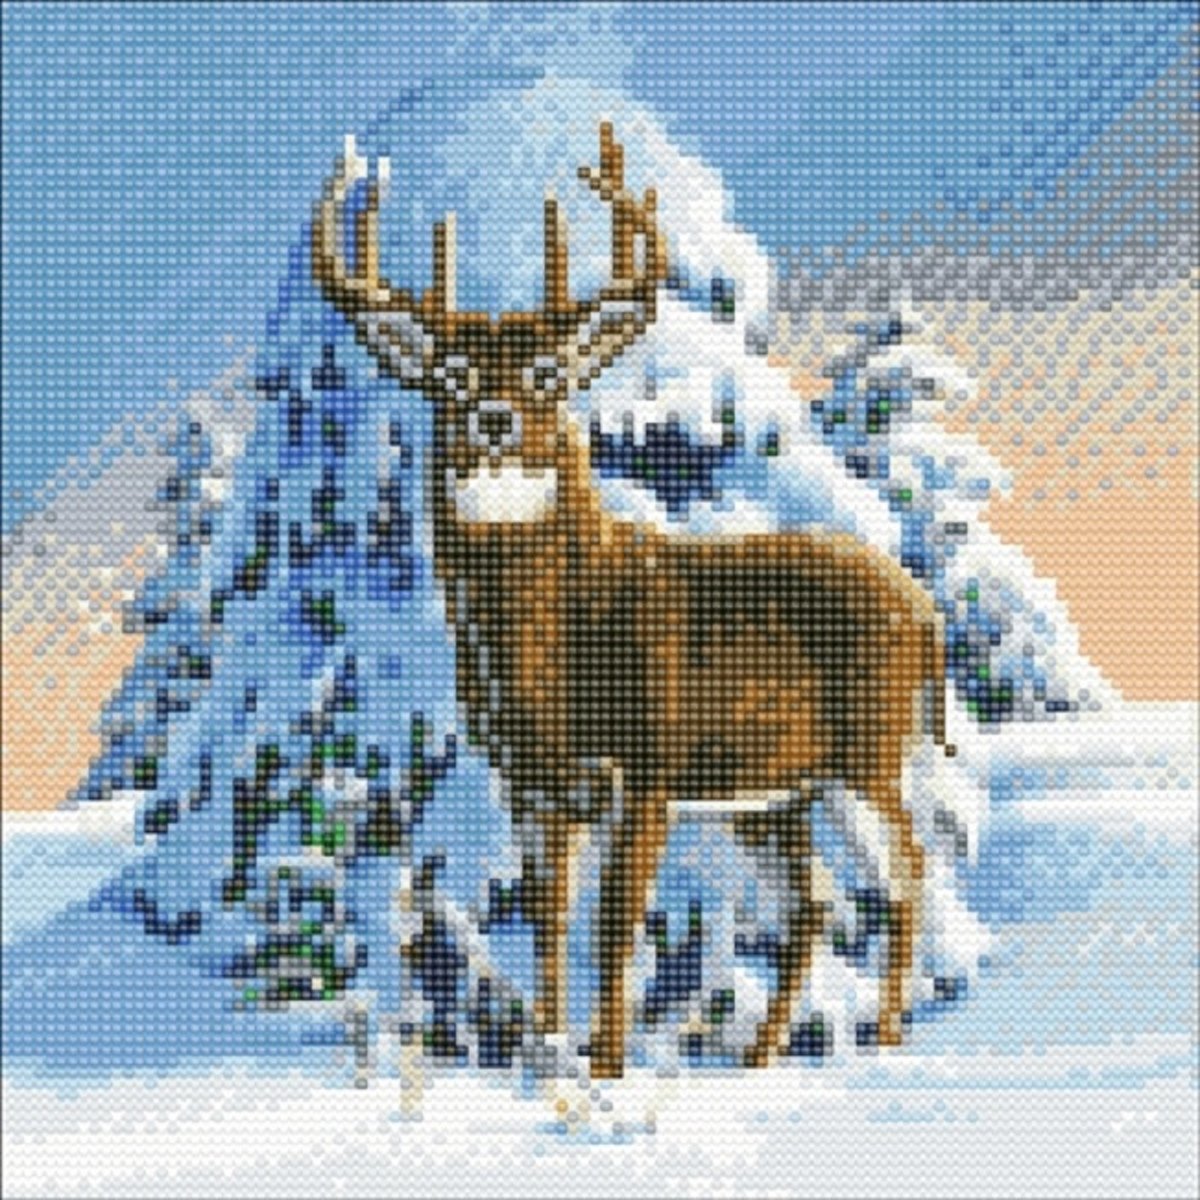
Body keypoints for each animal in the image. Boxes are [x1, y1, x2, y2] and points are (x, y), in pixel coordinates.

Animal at [312, 123, 949, 1080]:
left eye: (545, 372)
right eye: (452, 374)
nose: (494, 419)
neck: (551, 656)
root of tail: (925, 609)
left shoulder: (646, 765)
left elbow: (616, 927)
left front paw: (605, 1066)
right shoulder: (529, 782)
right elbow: (549, 919)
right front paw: (544, 1054)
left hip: (868, 752)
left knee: (907, 868)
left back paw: (883, 1043)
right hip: (771, 796)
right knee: (815, 904)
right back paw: (758, 1059)